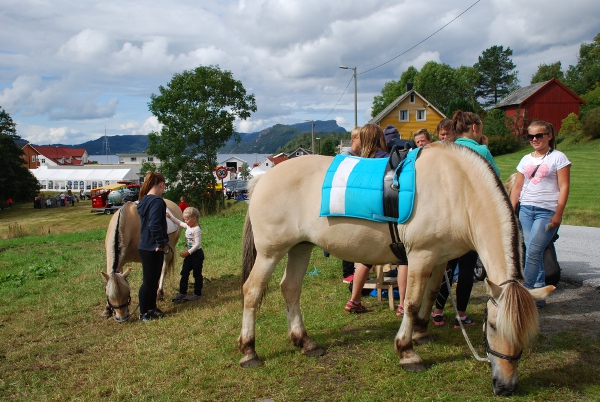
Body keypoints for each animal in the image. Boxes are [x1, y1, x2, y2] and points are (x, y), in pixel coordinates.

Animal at [238, 141, 552, 396]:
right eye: (494, 326)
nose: (506, 386)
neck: (457, 189)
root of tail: (262, 180)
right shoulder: (421, 256)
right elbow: (411, 302)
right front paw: (407, 351)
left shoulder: (440, 258)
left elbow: (431, 294)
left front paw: (422, 333)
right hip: (270, 253)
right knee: (252, 291)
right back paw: (249, 351)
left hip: (300, 247)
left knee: (290, 289)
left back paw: (304, 342)